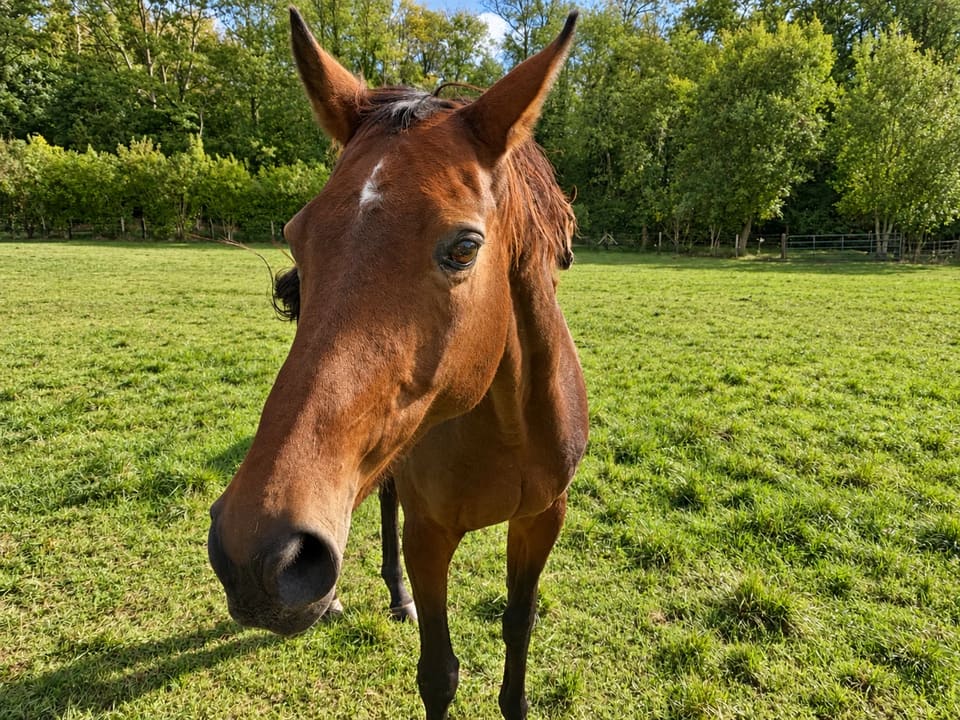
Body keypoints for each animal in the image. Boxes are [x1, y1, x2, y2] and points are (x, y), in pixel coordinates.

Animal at [207, 9, 588, 719]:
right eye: (297, 236)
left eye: (464, 248)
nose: (257, 554)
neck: (509, 431)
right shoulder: (429, 535)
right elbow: (438, 674)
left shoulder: (542, 520)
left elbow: (517, 629)